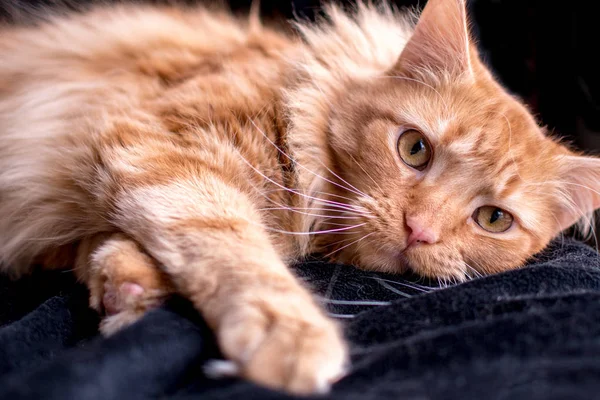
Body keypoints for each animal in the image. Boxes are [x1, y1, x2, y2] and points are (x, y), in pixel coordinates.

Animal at [1, 0, 600, 394]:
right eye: (414, 149)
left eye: (493, 219)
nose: (420, 229)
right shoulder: (161, 145)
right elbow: (230, 242)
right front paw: (288, 332)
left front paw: (125, 283)